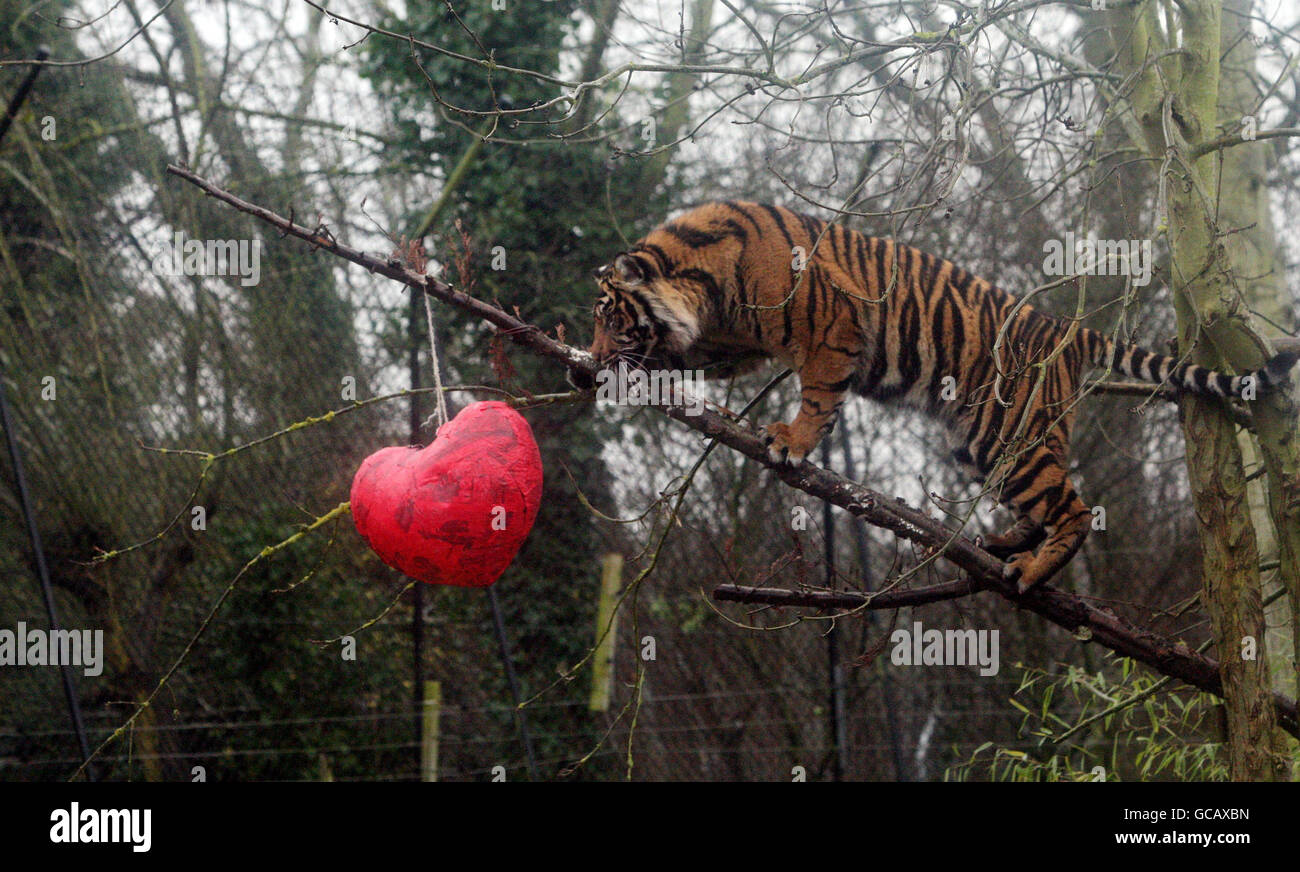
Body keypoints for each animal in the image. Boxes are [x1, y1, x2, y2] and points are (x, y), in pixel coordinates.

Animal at [580, 201, 1300, 592]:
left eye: (613, 317)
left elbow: (817, 397)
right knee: (1047, 499)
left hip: (1008, 430)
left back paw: (1029, 572)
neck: (705, 280)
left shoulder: (832, 327)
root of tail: (1066, 329)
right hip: (986, 443)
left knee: (1073, 508)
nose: (594, 358)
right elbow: (691, 358)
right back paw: (1004, 544)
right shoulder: (731, 343)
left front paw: (790, 443)